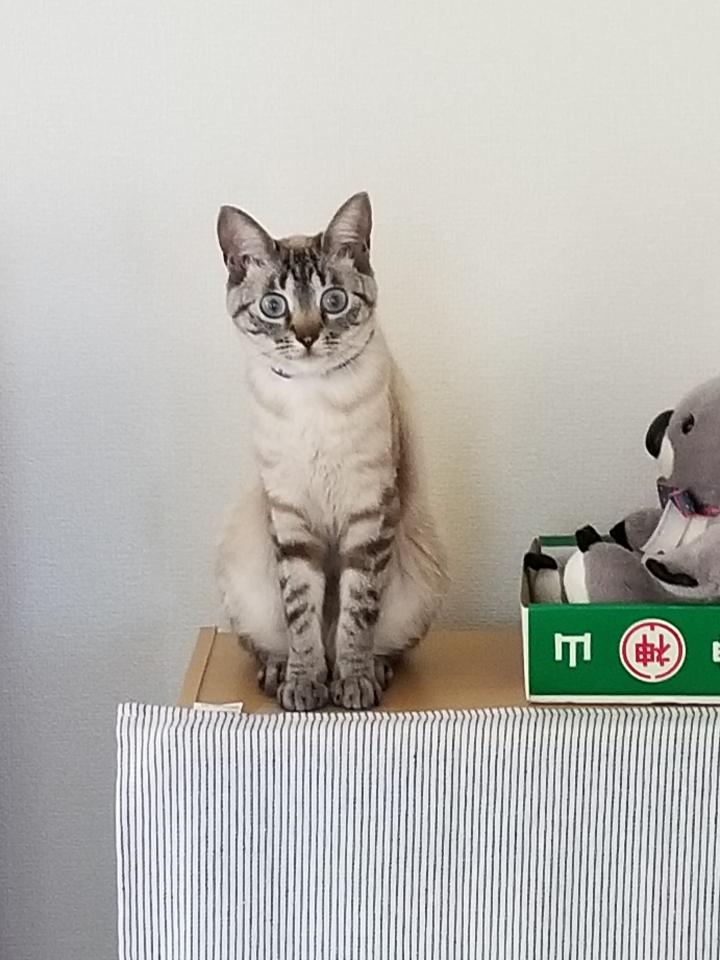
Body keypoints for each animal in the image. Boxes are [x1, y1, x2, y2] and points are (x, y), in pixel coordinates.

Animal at [215, 192, 448, 710]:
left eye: (333, 301)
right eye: (274, 305)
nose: (306, 336)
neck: (313, 397)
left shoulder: (370, 514)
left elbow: (355, 618)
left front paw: (352, 682)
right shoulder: (291, 520)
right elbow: (302, 618)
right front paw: (304, 684)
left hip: (420, 577)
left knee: (379, 642)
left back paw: (369, 672)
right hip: (242, 571)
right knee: (273, 641)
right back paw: (278, 672)